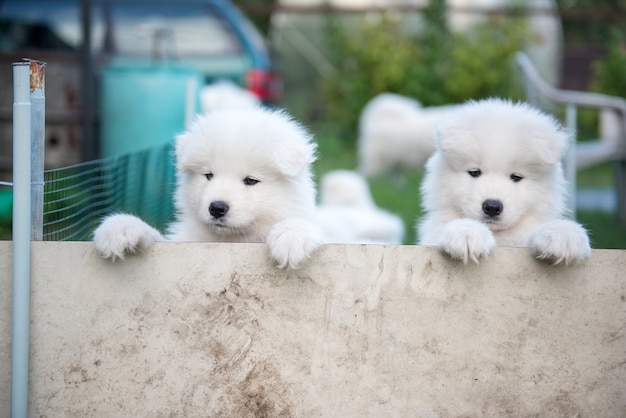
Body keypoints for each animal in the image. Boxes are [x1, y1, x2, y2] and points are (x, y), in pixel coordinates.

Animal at [95, 104, 326, 268]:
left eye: (250, 180)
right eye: (209, 175)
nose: (216, 208)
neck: (231, 240)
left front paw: (291, 236)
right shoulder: (183, 243)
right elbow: (155, 236)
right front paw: (121, 227)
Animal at [416, 98, 588, 264]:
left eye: (516, 177)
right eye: (474, 172)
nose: (492, 207)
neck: (499, 236)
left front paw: (563, 235)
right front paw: (467, 232)